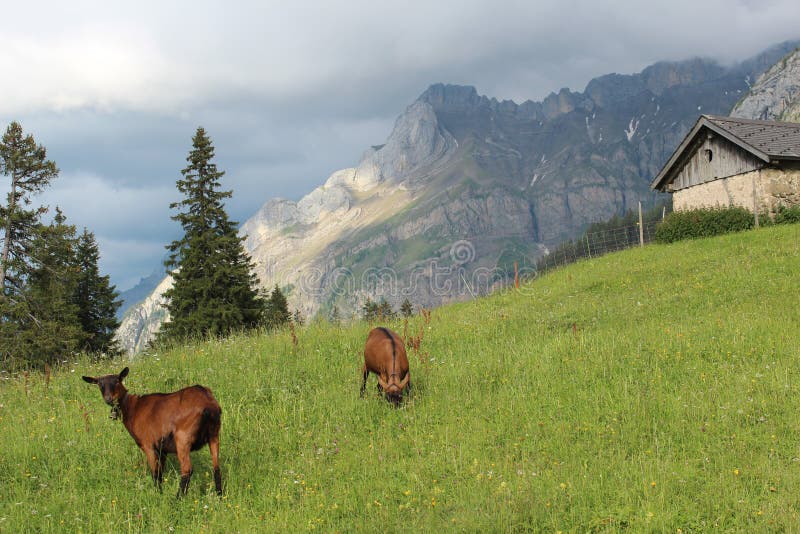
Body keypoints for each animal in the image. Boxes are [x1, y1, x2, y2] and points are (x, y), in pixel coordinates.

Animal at [81, 368, 222, 498]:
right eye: (100, 384)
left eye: (117, 381)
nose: (109, 399)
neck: (133, 408)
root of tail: (208, 405)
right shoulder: (162, 449)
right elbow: (160, 473)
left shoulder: (148, 445)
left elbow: (155, 473)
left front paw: (157, 494)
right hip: (214, 435)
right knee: (216, 467)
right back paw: (219, 496)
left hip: (183, 438)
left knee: (187, 469)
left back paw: (178, 498)